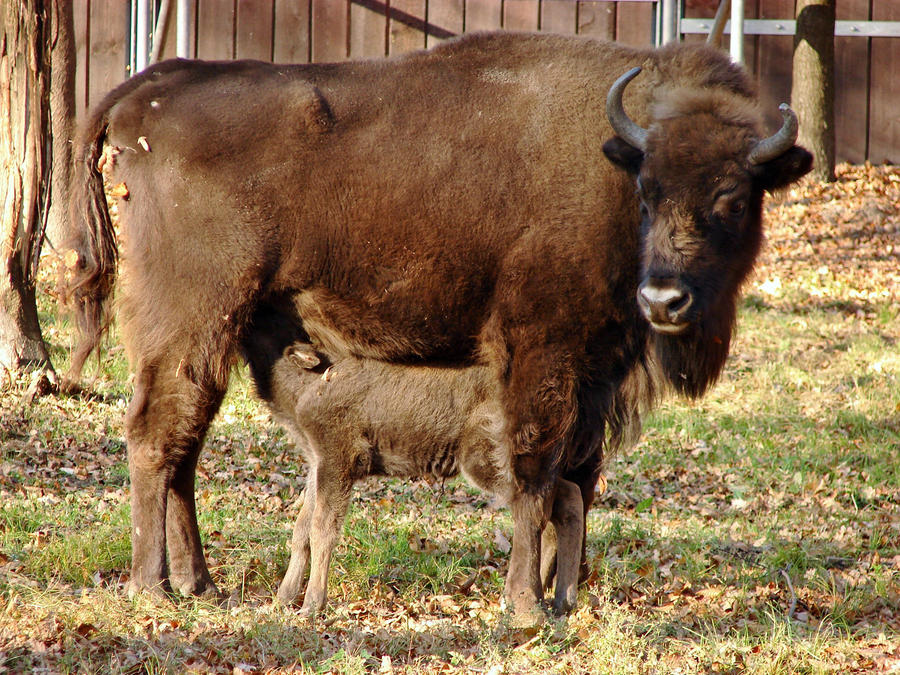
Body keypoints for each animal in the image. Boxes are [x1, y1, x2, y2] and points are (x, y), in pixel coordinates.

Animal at [268, 344, 584, 616]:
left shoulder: (340, 456)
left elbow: (322, 529)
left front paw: (312, 605)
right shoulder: (317, 461)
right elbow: (301, 526)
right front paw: (284, 597)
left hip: (488, 459)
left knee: (546, 503)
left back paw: (538, 599)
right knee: (563, 499)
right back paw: (560, 599)